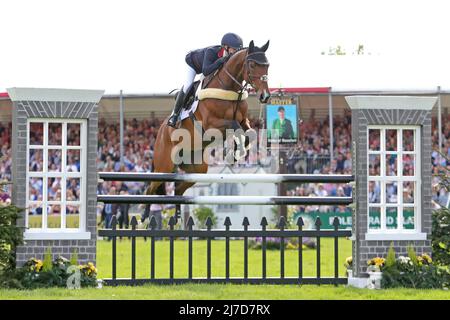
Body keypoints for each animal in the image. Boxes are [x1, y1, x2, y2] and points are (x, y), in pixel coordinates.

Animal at [147, 39, 270, 220]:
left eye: (267, 65)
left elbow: (250, 133)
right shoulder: (211, 125)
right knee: (150, 188)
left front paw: (236, 153)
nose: (265, 96)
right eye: (253, 64)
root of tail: (160, 133)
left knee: (178, 189)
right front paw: (233, 153)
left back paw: (177, 216)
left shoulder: (243, 120)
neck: (229, 89)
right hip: (164, 166)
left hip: (197, 169)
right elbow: (236, 127)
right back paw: (144, 216)